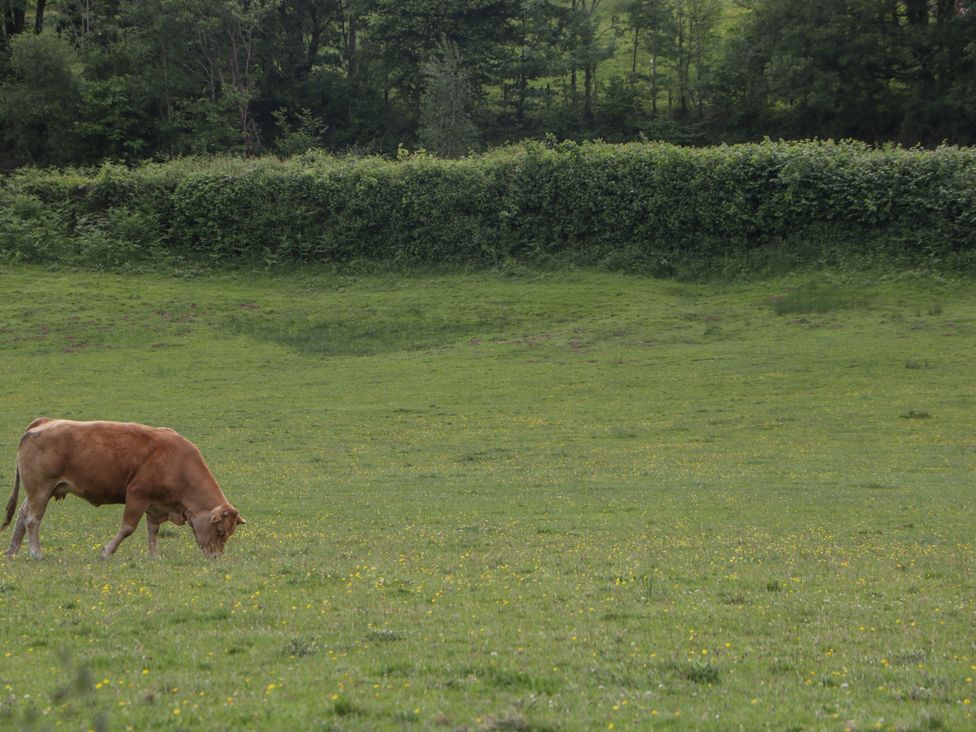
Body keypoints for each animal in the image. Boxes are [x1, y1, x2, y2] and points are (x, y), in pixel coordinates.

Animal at [2, 417, 245, 560]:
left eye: (229, 532)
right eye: (220, 530)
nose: (216, 557)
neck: (178, 462)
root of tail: (43, 422)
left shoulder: (155, 505)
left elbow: (152, 531)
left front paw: (154, 557)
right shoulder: (137, 496)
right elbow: (127, 528)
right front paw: (107, 551)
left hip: (39, 491)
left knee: (22, 515)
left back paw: (12, 550)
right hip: (40, 490)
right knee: (32, 519)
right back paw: (36, 553)